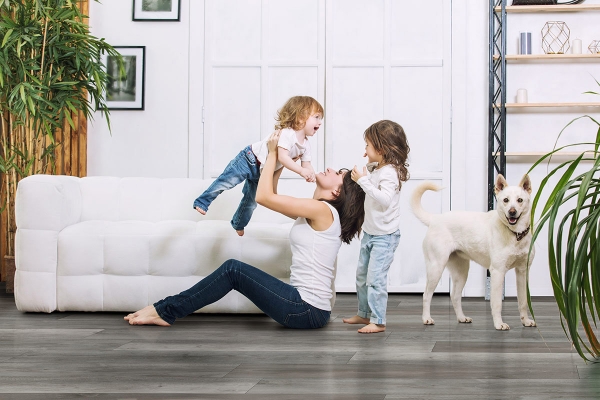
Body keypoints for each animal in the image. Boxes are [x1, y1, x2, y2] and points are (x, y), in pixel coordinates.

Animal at [410, 174, 536, 330]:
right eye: (505, 200)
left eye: (520, 200)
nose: (512, 212)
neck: (516, 234)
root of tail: (435, 218)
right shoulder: (497, 272)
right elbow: (497, 303)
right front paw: (499, 324)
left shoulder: (522, 272)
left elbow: (523, 301)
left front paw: (526, 321)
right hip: (436, 268)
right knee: (426, 295)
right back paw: (426, 318)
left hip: (461, 272)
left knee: (455, 296)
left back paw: (461, 318)